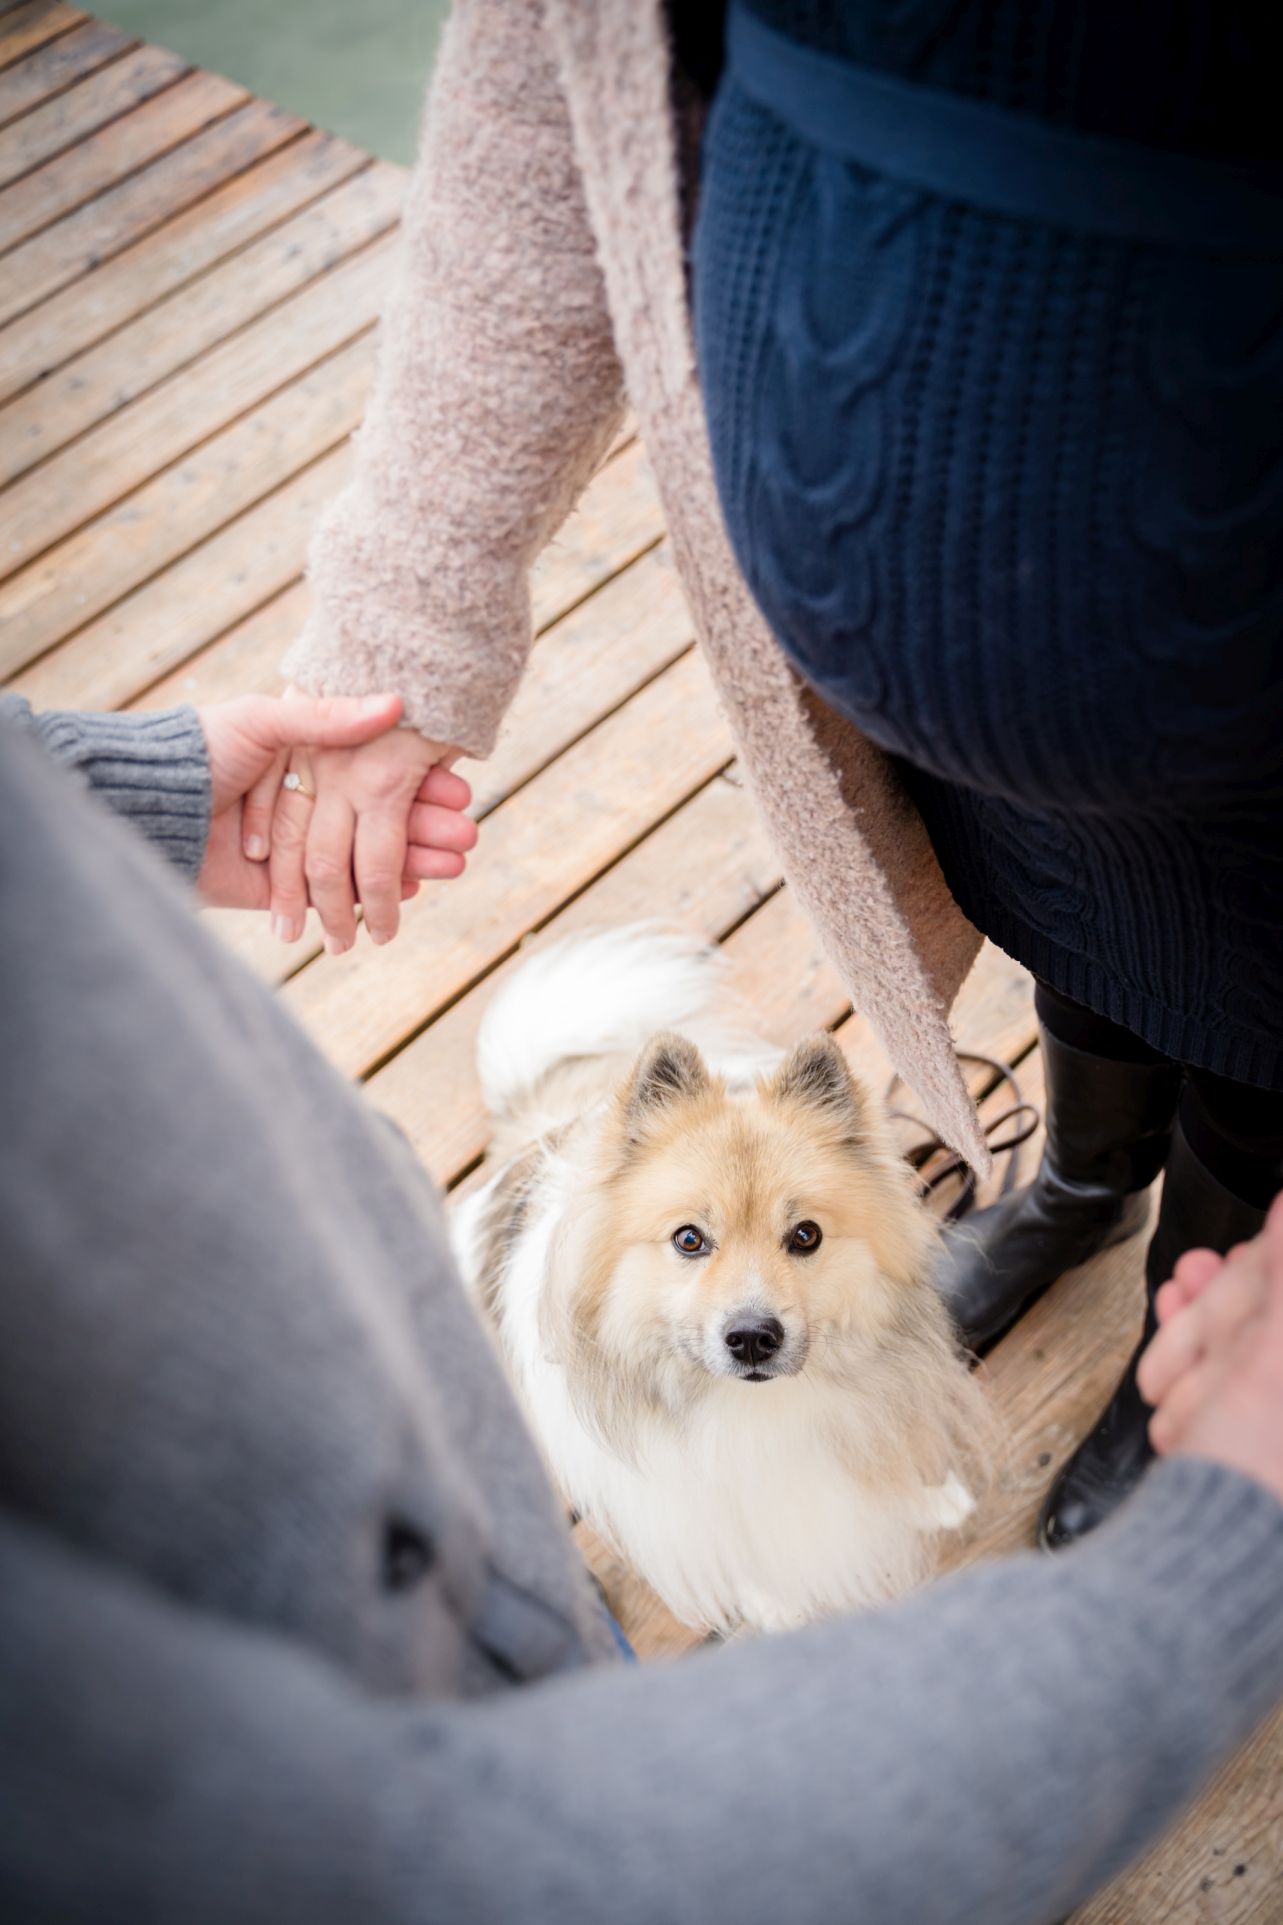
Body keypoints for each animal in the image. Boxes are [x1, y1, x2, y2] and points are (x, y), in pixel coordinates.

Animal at [448, 924, 986, 1632]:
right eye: (689, 1239)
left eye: (805, 1236)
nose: (753, 1336)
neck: (752, 1411)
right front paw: (775, 1607)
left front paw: (930, 1500)